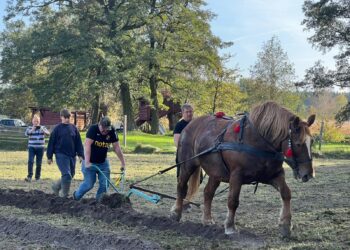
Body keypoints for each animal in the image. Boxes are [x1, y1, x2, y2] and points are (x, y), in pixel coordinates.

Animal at [171, 101, 316, 236]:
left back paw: (207, 219)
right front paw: (230, 226)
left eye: (312, 142)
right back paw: (176, 213)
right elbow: (233, 200)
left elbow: (286, 193)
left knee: (208, 193)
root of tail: (189, 125)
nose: (308, 174)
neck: (257, 141)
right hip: (187, 165)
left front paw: (285, 224)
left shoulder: (274, 175)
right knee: (181, 187)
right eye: (298, 144)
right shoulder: (236, 176)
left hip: (216, 172)